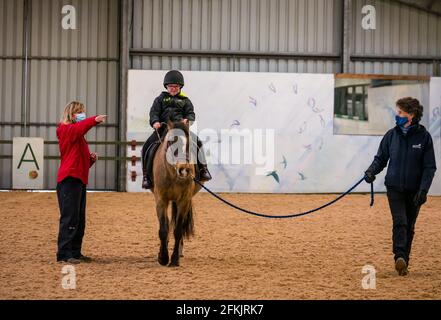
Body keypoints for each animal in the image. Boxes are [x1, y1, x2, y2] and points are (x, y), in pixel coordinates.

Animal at [150, 121, 201, 266]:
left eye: (189, 143)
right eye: (170, 142)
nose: (184, 169)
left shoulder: (184, 201)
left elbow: (178, 230)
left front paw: (174, 259)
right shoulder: (161, 201)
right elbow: (163, 229)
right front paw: (163, 257)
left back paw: (179, 251)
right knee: (166, 224)